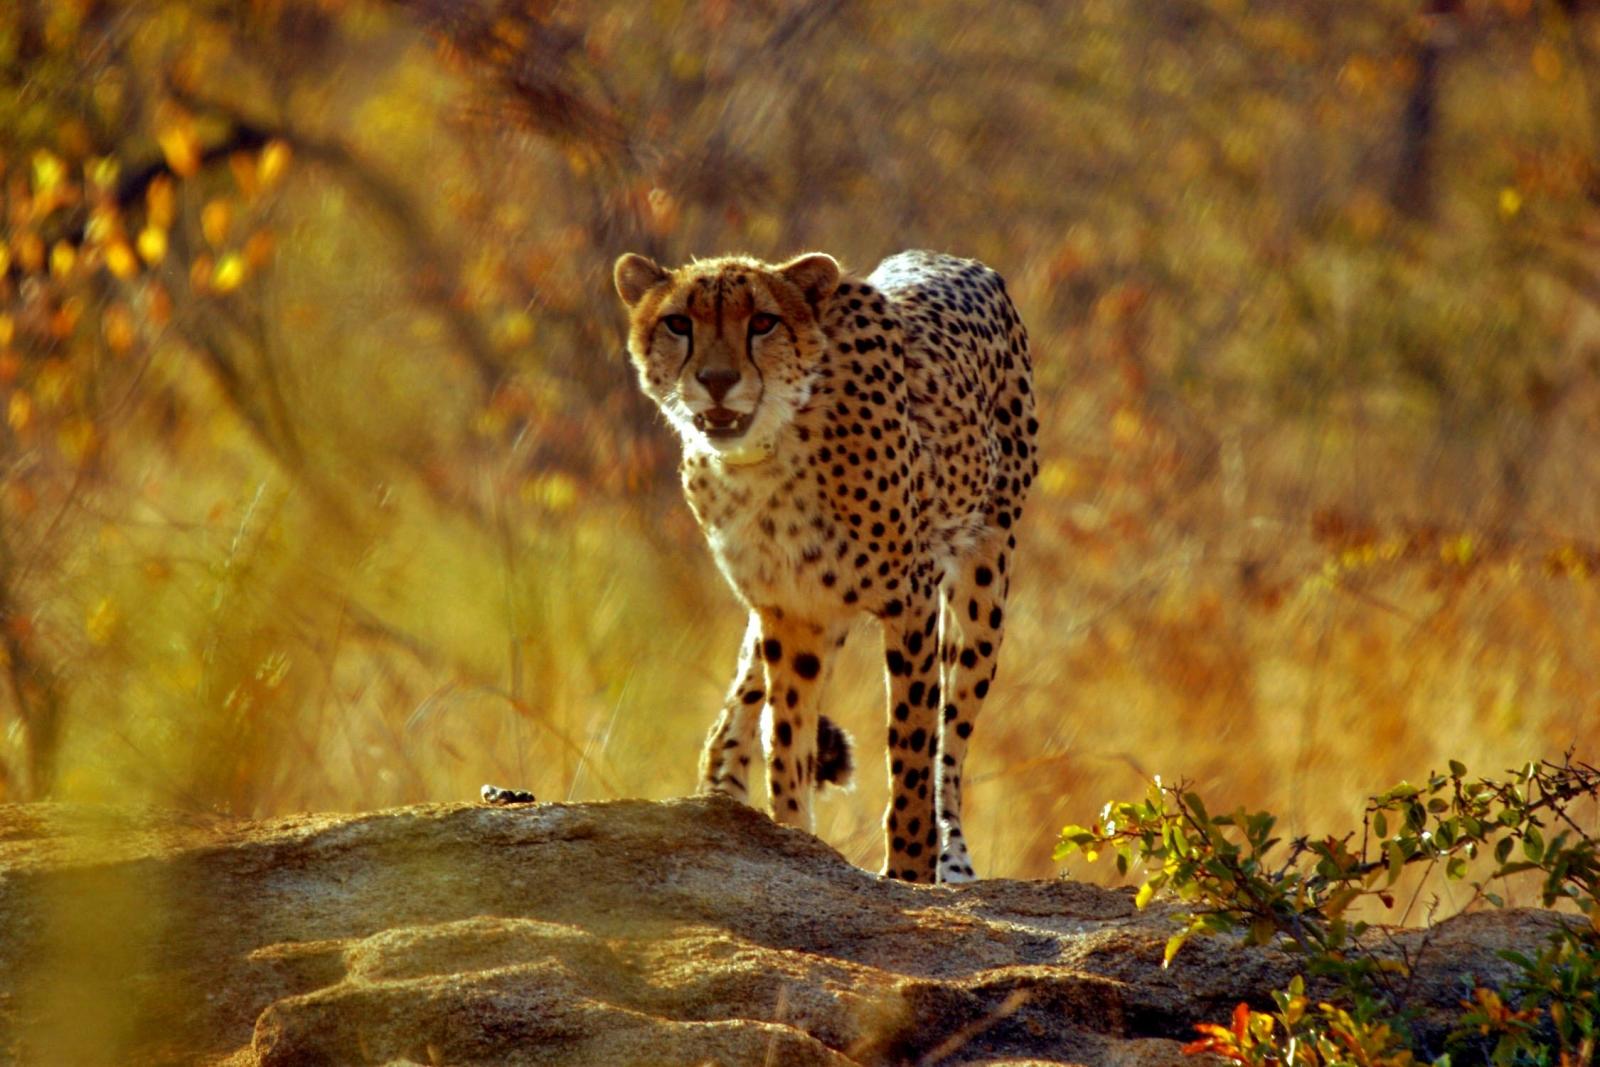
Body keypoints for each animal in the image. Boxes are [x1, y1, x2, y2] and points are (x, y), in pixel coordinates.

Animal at [611, 247, 1036, 883]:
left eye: (763, 322)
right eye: (678, 323)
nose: (717, 381)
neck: (767, 455)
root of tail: (946, 256)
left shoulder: (911, 602)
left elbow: (912, 751)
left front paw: (908, 870)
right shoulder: (791, 610)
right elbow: (787, 741)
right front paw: (794, 839)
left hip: (984, 586)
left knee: (952, 746)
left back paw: (953, 860)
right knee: (742, 707)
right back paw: (720, 794)